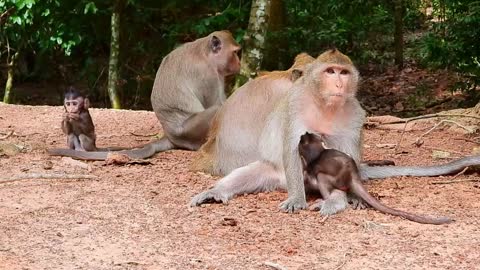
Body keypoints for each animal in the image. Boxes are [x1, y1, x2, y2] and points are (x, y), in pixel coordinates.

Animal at [48, 30, 242, 160]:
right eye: (236, 53)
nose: (240, 63)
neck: (204, 53)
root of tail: (170, 136)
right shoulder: (207, 76)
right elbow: (218, 103)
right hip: (189, 132)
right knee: (216, 110)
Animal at [190, 48, 480, 213]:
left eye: (343, 73)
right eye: (330, 72)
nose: (339, 84)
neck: (325, 104)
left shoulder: (355, 113)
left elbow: (344, 154)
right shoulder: (294, 104)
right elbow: (290, 147)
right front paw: (297, 199)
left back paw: (336, 201)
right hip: (274, 173)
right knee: (248, 173)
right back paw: (215, 192)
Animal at [298, 132, 452, 225]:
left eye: (303, 139)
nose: (304, 133)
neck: (318, 153)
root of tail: (353, 175)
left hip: (334, 180)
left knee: (323, 178)